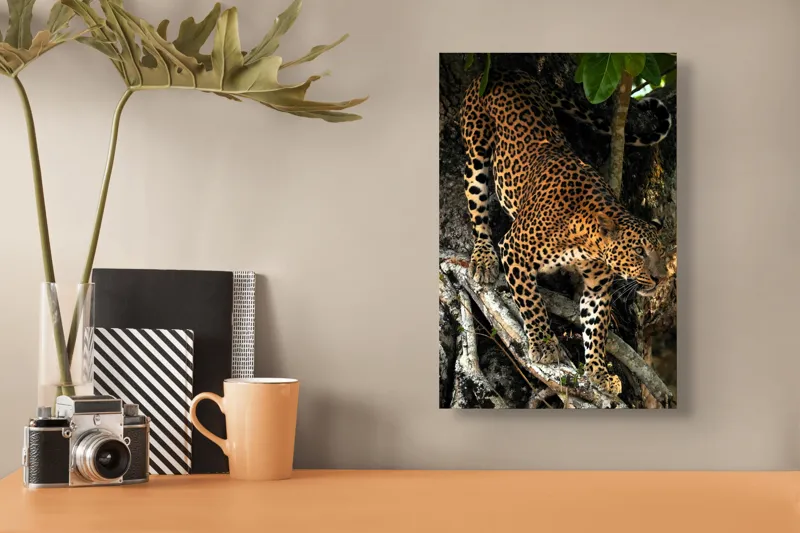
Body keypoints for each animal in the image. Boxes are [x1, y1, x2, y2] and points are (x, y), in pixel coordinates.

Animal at [459, 68, 671, 396]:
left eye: (661, 253)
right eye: (639, 251)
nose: (662, 279)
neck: (586, 239)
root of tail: (508, 70)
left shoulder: (597, 286)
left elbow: (595, 329)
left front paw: (598, 372)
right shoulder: (514, 250)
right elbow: (531, 303)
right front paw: (543, 345)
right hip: (476, 148)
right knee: (477, 206)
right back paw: (483, 259)